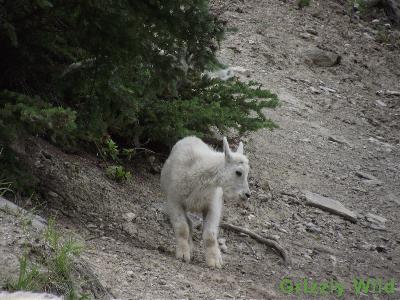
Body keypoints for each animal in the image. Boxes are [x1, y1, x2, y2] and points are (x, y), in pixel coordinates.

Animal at [160, 136, 250, 268]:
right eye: (238, 172)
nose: (247, 194)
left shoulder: (212, 205)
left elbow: (210, 235)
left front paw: (214, 261)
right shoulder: (174, 201)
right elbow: (182, 228)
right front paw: (183, 254)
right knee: (189, 223)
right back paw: (189, 248)